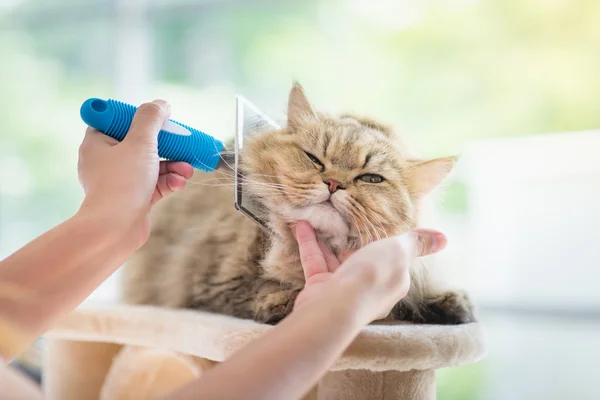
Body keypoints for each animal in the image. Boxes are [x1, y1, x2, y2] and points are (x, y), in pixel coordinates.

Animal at [122, 82, 476, 324]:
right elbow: (256, 294)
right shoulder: (208, 283)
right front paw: (284, 301)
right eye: (314, 159)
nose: (333, 184)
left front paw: (451, 305)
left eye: (371, 179)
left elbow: (421, 298)